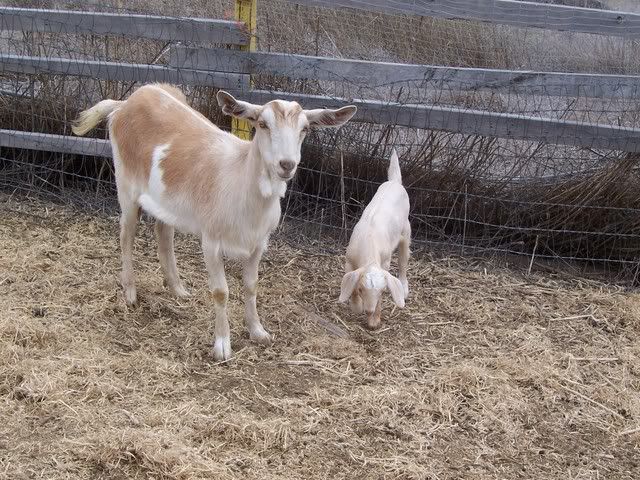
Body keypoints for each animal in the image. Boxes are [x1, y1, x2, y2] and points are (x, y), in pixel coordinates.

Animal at [72, 83, 357, 361]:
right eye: (262, 124)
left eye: (305, 129)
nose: (286, 164)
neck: (241, 183)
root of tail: (124, 104)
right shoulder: (211, 240)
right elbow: (221, 291)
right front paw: (222, 346)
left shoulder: (259, 243)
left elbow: (251, 286)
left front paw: (258, 331)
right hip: (126, 184)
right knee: (126, 234)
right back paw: (130, 293)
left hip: (165, 200)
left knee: (163, 232)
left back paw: (178, 289)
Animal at [338, 149, 410, 329]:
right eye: (362, 289)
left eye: (383, 291)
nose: (368, 310)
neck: (369, 241)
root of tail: (394, 182)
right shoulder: (349, 260)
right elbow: (351, 283)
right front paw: (356, 306)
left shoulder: (384, 262)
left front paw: (374, 321)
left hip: (406, 229)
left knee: (403, 260)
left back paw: (404, 288)